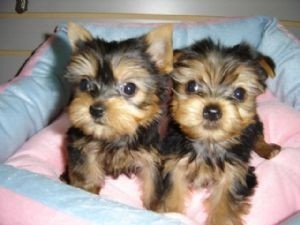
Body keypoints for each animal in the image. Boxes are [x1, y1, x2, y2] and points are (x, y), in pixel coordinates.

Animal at [64, 22, 172, 210]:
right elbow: (86, 175)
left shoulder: (153, 156)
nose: (95, 109)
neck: (115, 136)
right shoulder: (81, 147)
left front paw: (155, 209)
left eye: (129, 88)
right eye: (84, 83)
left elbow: (153, 184)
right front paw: (87, 193)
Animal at [158, 38, 280, 223]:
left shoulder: (235, 173)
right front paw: (170, 215)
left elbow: (225, 205)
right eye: (191, 86)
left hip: (252, 122)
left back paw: (268, 149)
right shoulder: (174, 164)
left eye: (239, 93)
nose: (212, 111)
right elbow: (172, 193)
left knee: (257, 134)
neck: (209, 143)